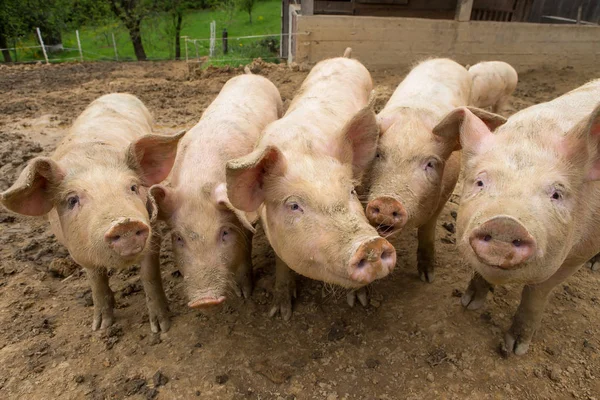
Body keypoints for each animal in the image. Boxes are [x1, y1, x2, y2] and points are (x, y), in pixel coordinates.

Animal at [1, 93, 184, 332]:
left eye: (133, 187)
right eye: (72, 200)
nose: (124, 223)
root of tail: (117, 93)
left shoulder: (153, 234)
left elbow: (150, 275)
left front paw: (161, 328)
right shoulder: (78, 250)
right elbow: (96, 281)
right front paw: (101, 327)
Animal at [149, 71, 282, 310]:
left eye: (225, 233)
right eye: (179, 238)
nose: (205, 300)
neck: (199, 182)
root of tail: (251, 74)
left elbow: (245, 249)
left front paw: (245, 294)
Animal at [225, 48, 394, 320]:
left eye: (351, 191)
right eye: (294, 205)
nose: (372, 244)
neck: (305, 150)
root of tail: (345, 57)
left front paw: (359, 301)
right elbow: (282, 265)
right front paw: (281, 314)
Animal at [366, 58, 506, 284]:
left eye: (430, 163)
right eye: (378, 154)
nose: (387, 202)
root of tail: (445, 59)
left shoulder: (445, 194)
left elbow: (427, 230)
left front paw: (427, 277)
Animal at [434, 79, 600, 354]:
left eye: (556, 194)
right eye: (480, 182)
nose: (505, 223)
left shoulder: (578, 253)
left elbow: (536, 293)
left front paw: (515, 348)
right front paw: (469, 303)